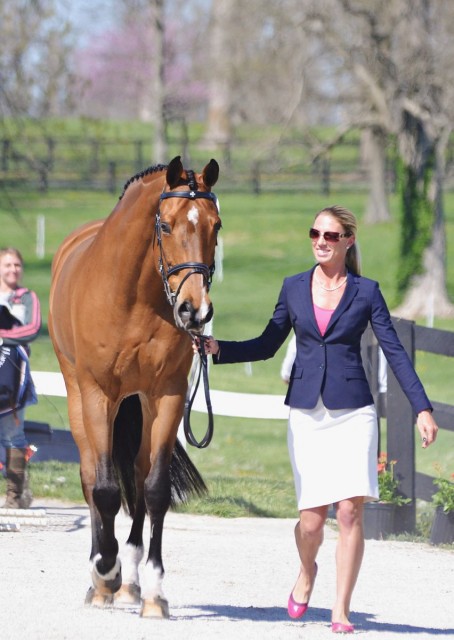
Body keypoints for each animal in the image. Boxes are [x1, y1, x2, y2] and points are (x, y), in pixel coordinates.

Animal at [48, 152, 222, 616]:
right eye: (166, 225)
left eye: (215, 226)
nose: (195, 311)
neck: (135, 299)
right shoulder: (97, 394)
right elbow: (105, 489)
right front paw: (105, 571)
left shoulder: (168, 396)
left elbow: (156, 490)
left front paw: (156, 592)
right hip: (79, 397)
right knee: (90, 474)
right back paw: (103, 578)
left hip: (141, 404)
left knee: (141, 477)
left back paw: (130, 583)